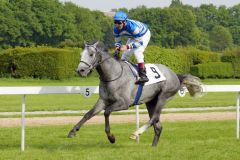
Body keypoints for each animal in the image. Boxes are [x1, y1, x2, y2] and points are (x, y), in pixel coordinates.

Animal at [68, 41, 202, 146]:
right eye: (81, 54)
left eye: (91, 54)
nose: (80, 70)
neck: (113, 75)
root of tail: (175, 75)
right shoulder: (103, 100)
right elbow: (88, 114)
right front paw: (73, 131)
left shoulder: (124, 103)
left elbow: (106, 112)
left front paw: (111, 137)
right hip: (151, 102)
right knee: (158, 126)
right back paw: (153, 146)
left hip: (164, 97)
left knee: (154, 118)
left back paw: (136, 133)